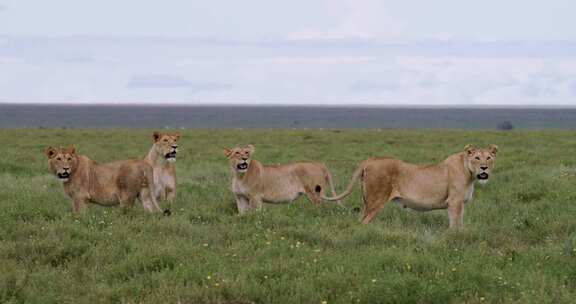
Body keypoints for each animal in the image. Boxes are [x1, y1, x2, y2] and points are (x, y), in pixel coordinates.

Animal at [318, 144, 498, 228]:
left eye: (489, 158)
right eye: (476, 157)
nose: (484, 168)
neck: (470, 174)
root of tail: (370, 160)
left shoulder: (455, 204)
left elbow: (457, 222)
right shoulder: (454, 202)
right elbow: (456, 225)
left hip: (367, 201)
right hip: (376, 200)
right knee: (363, 221)